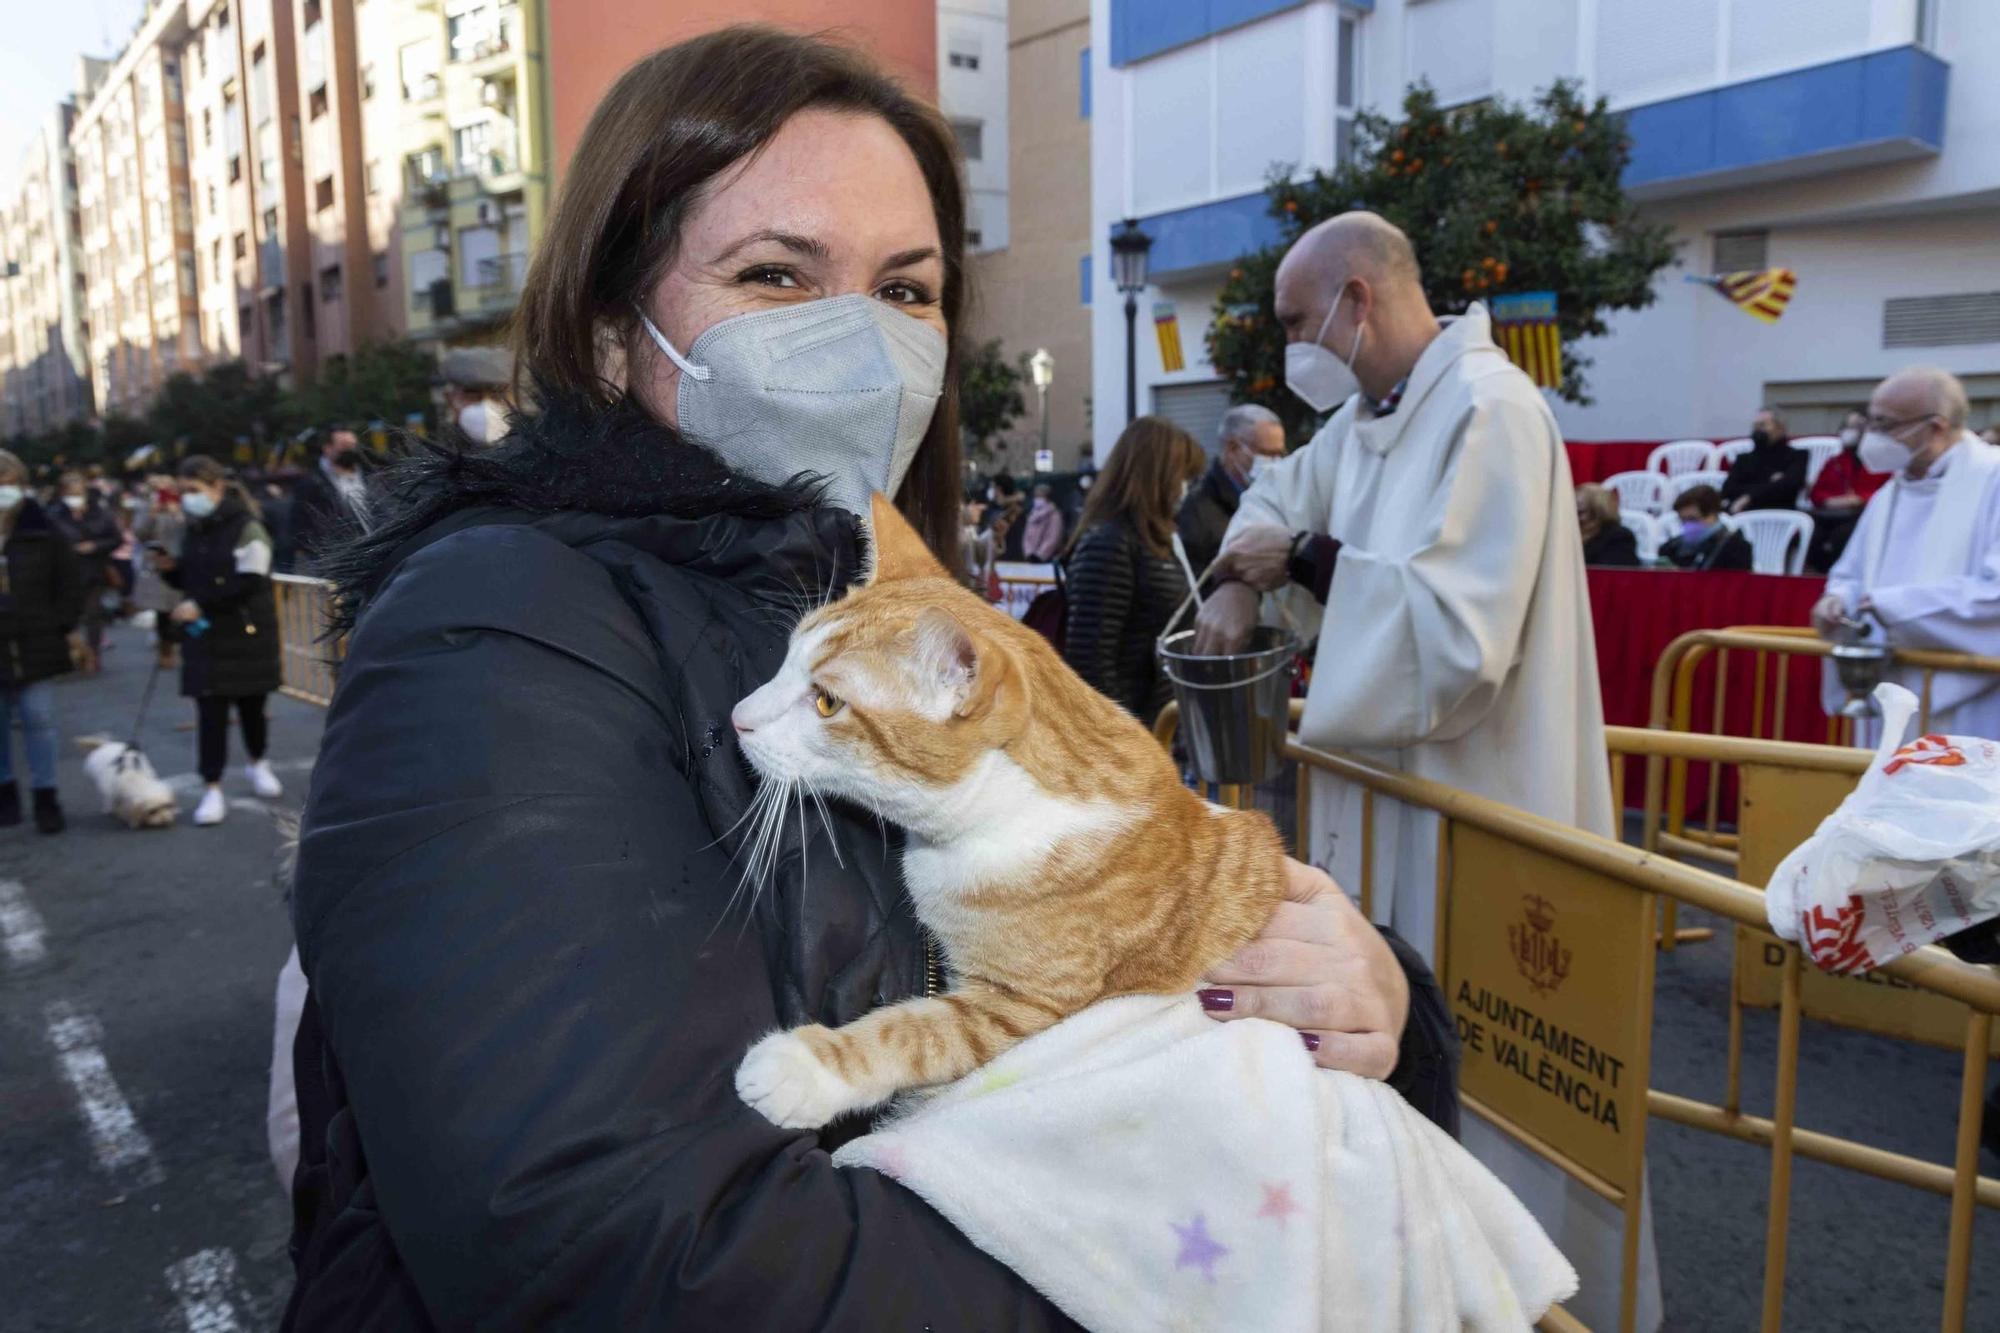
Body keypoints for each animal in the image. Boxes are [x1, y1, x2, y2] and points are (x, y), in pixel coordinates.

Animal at [732, 490, 1280, 1120]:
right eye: (787, 659)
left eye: (826, 702)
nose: (737, 718)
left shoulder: (1025, 1010)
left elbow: (914, 1033)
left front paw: (804, 1069)